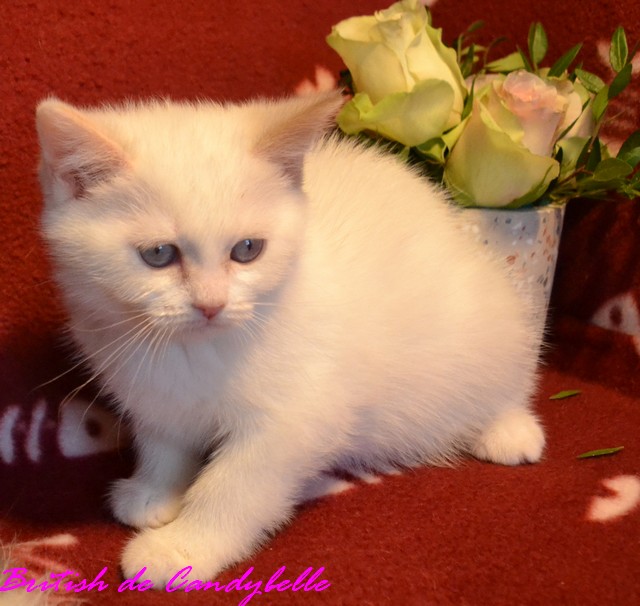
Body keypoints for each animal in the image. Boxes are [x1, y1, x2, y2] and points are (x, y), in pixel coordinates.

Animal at [37, 91, 545, 586]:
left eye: (247, 249)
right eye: (159, 254)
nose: (211, 304)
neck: (193, 350)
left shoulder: (299, 415)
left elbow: (236, 486)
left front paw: (182, 548)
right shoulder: (147, 386)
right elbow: (165, 440)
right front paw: (154, 491)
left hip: (491, 319)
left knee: (511, 374)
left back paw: (508, 430)